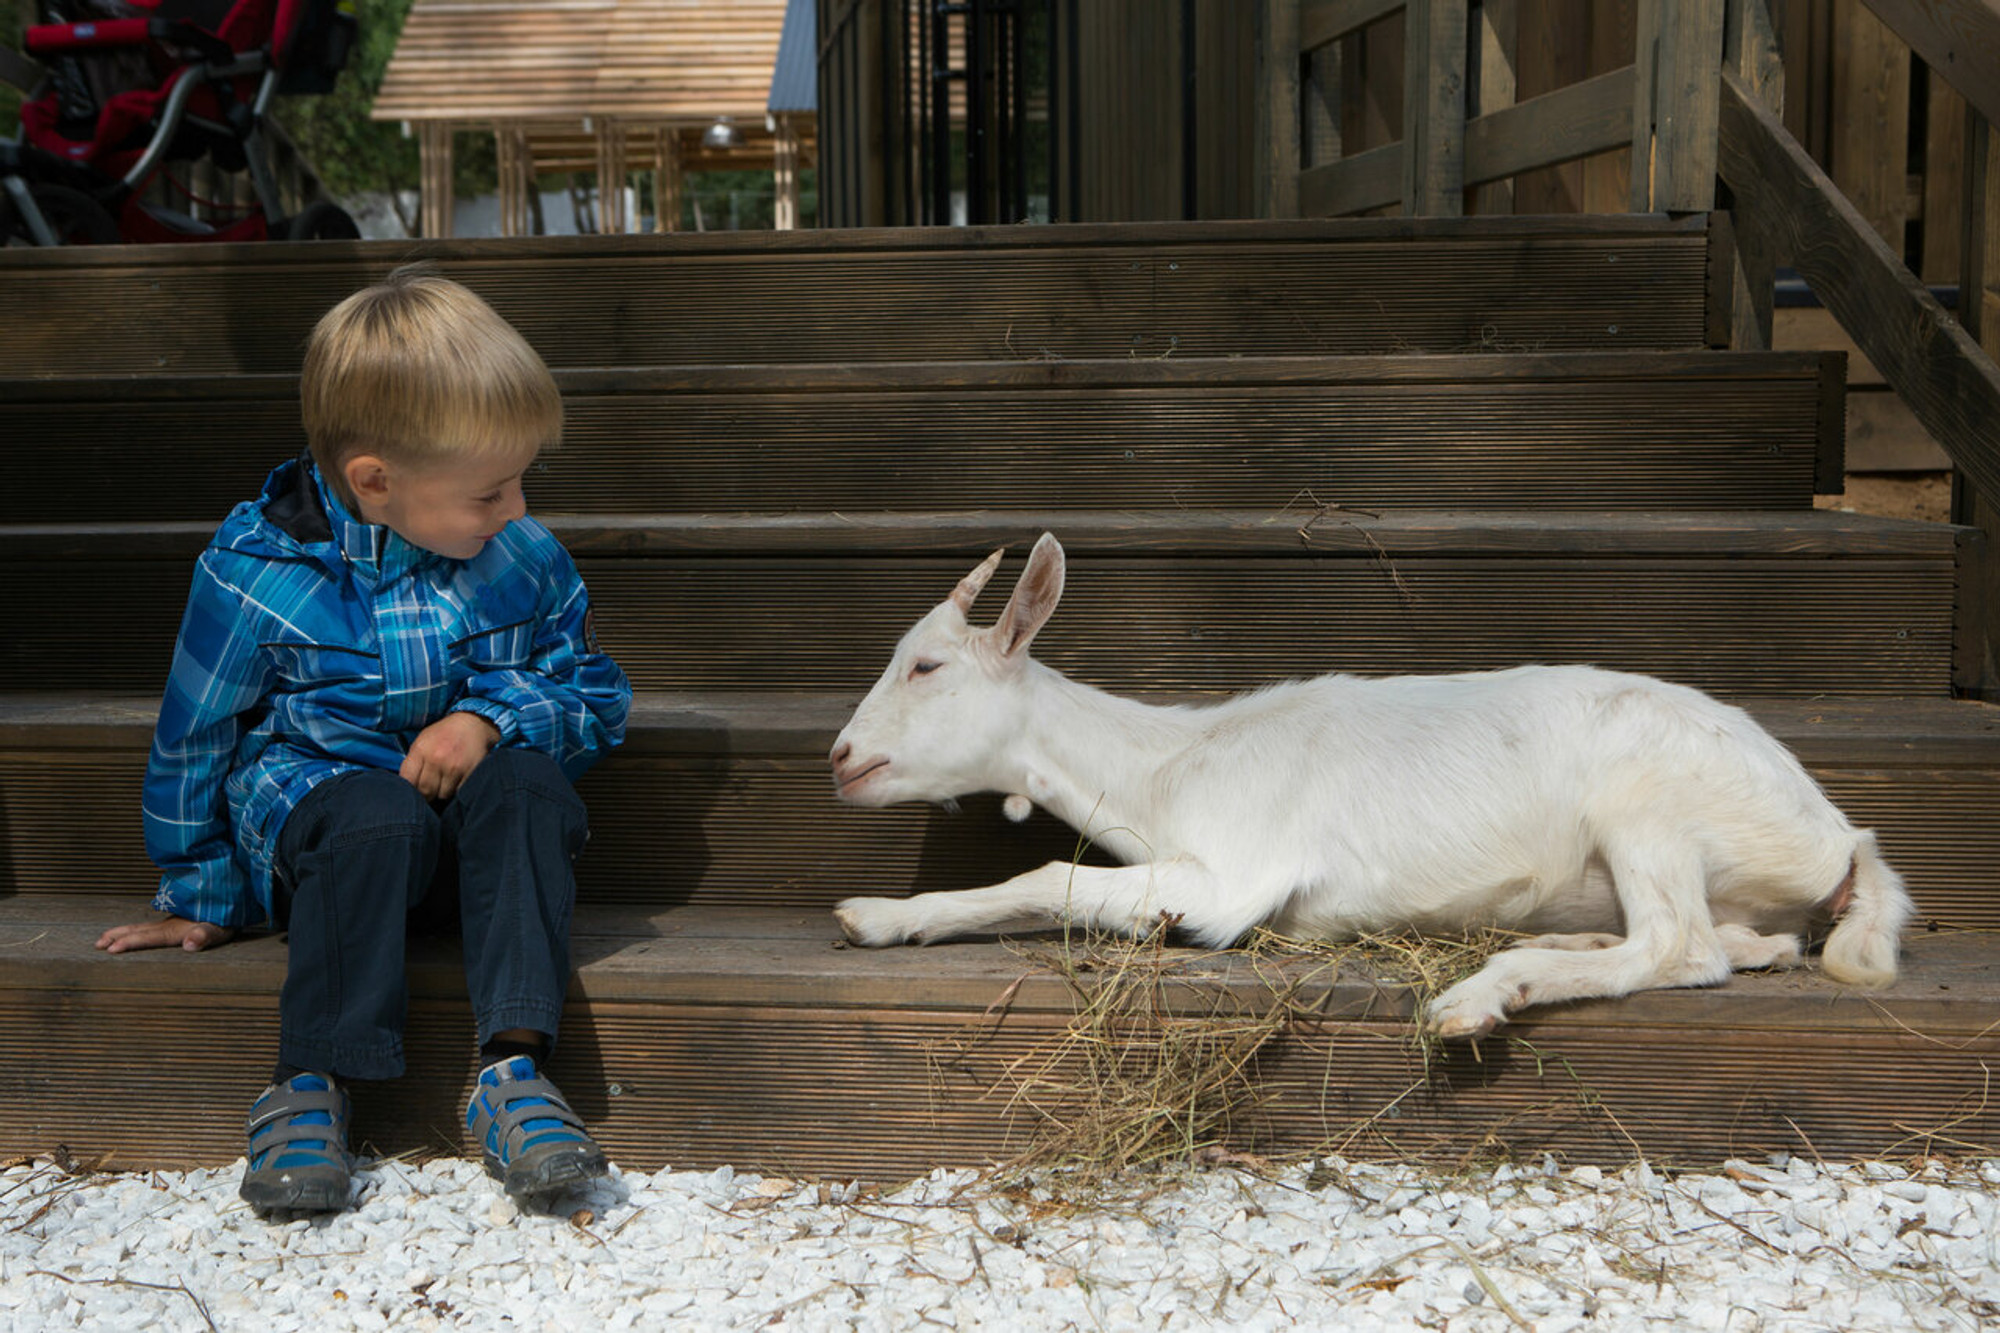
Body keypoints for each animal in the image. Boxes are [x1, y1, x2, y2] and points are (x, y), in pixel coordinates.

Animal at [832, 528, 1920, 1024]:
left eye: (924, 665)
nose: (840, 755)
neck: (1172, 764)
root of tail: (1842, 837)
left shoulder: (1236, 876)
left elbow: (1049, 875)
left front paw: (876, 913)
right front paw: (886, 915)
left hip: (1645, 799)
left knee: (1680, 947)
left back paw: (1488, 991)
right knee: (1745, 944)